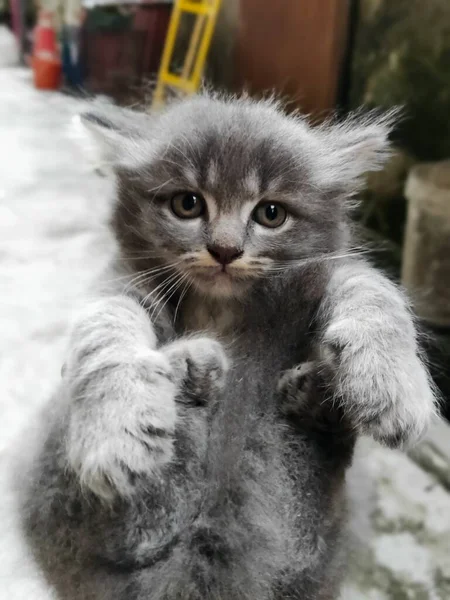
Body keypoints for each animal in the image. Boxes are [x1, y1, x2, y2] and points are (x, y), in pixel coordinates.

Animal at [20, 95, 436, 600]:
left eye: (271, 214)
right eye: (187, 204)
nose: (224, 249)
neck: (221, 313)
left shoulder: (328, 274)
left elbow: (375, 293)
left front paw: (394, 388)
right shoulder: (121, 287)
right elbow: (106, 335)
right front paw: (118, 429)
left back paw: (313, 403)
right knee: (146, 520)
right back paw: (194, 376)